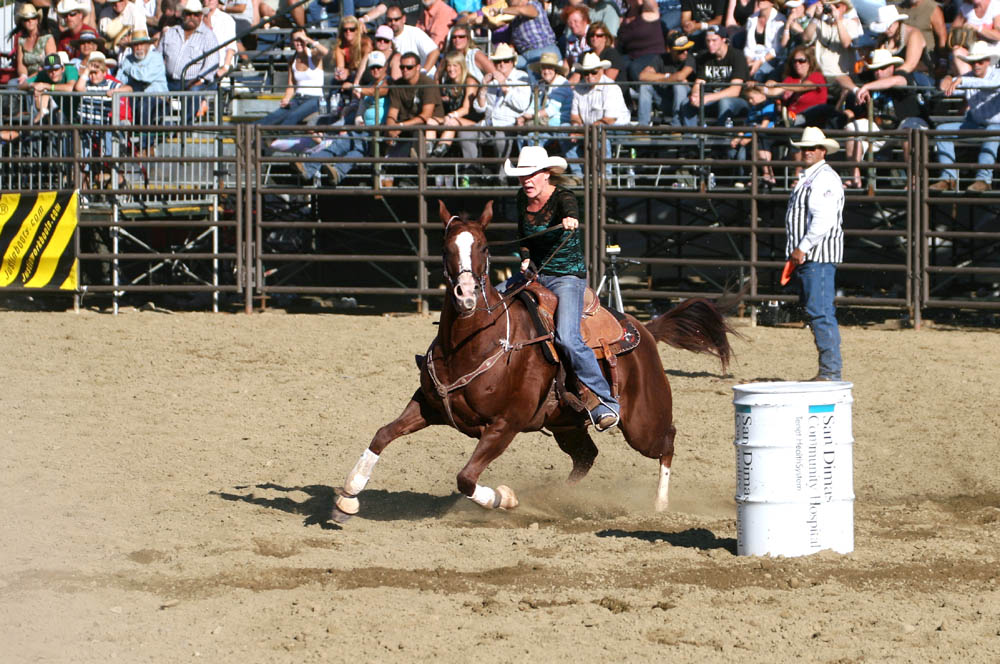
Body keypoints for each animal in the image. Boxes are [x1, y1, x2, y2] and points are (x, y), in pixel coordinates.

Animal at [332, 200, 740, 520]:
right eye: (446, 247)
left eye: (483, 247)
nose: (465, 295)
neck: (473, 345)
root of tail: (645, 329)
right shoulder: (429, 406)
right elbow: (383, 435)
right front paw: (348, 497)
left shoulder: (504, 425)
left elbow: (466, 478)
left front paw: (506, 498)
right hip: (566, 424)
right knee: (586, 457)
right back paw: (558, 497)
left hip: (641, 423)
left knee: (666, 441)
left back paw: (659, 504)